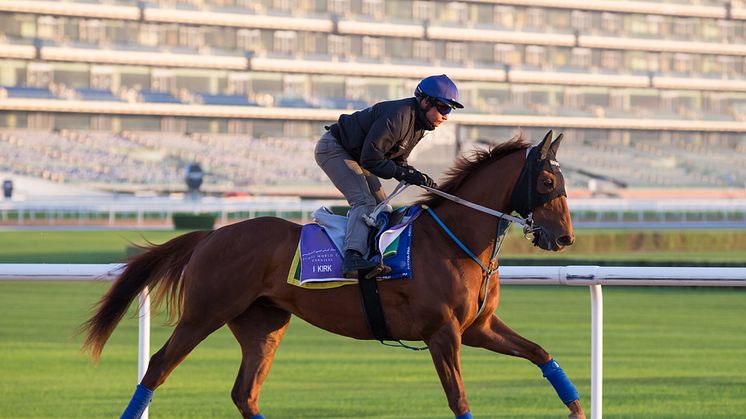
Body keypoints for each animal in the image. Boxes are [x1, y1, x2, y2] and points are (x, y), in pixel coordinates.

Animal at [81, 130, 580, 418]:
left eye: (565, 182)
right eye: (548, 182)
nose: (564, 239)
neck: (454, 240)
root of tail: (210, 235)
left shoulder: (478, 327)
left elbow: (540, 353)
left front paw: (576, 406)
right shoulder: (443, 333)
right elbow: (459, 399)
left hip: (263, 324)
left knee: (245, 393)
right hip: (205, 313)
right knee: (157, 368)